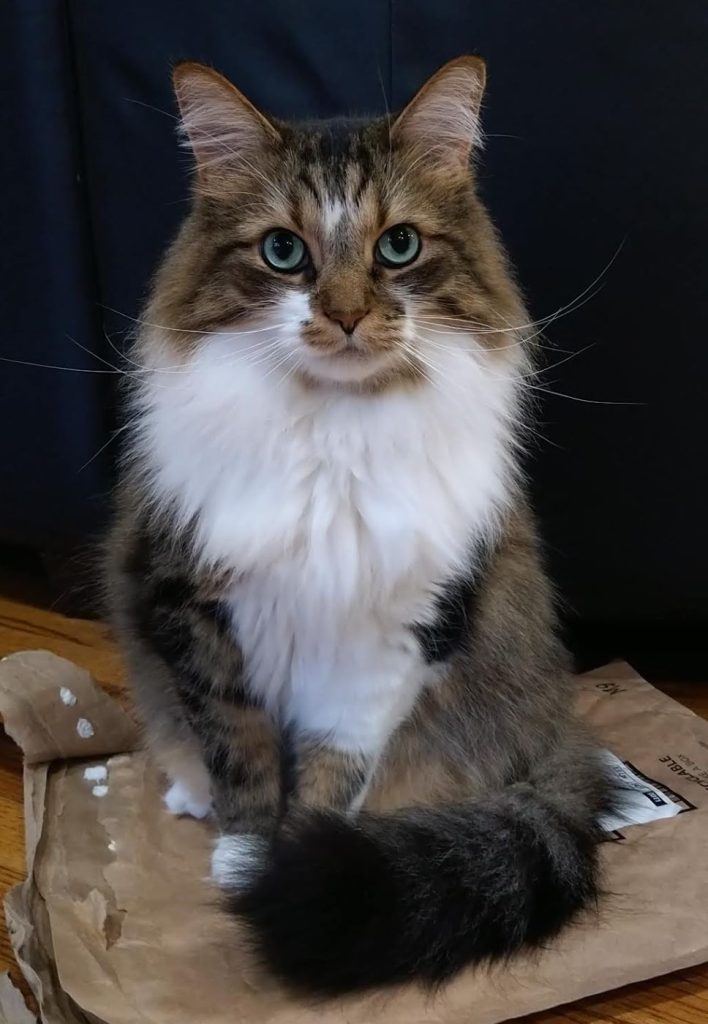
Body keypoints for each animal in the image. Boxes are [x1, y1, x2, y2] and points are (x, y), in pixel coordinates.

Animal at [105, 54, 614, 991]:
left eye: (398, 246)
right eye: (283, 252)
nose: (343, 314)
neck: (335, 445)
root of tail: (559, 722)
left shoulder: (398, 635)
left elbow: (333, 768)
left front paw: (297, 866)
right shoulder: (191, 606)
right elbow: (239, 748)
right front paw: (245, 854)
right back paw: (188, 790)